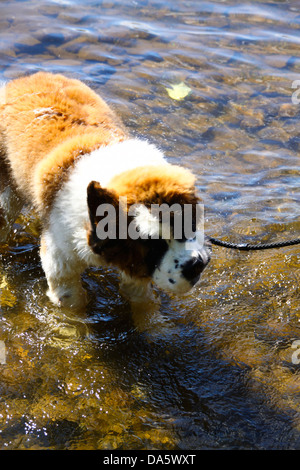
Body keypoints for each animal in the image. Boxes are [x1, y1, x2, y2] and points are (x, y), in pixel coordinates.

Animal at [0, 71, 211, 308]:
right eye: (152, 244)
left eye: (188, 223)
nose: (197, 264)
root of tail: (26, 79)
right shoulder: (61, 263)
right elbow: (73, 305)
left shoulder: (134, 267)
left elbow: (140, 299)